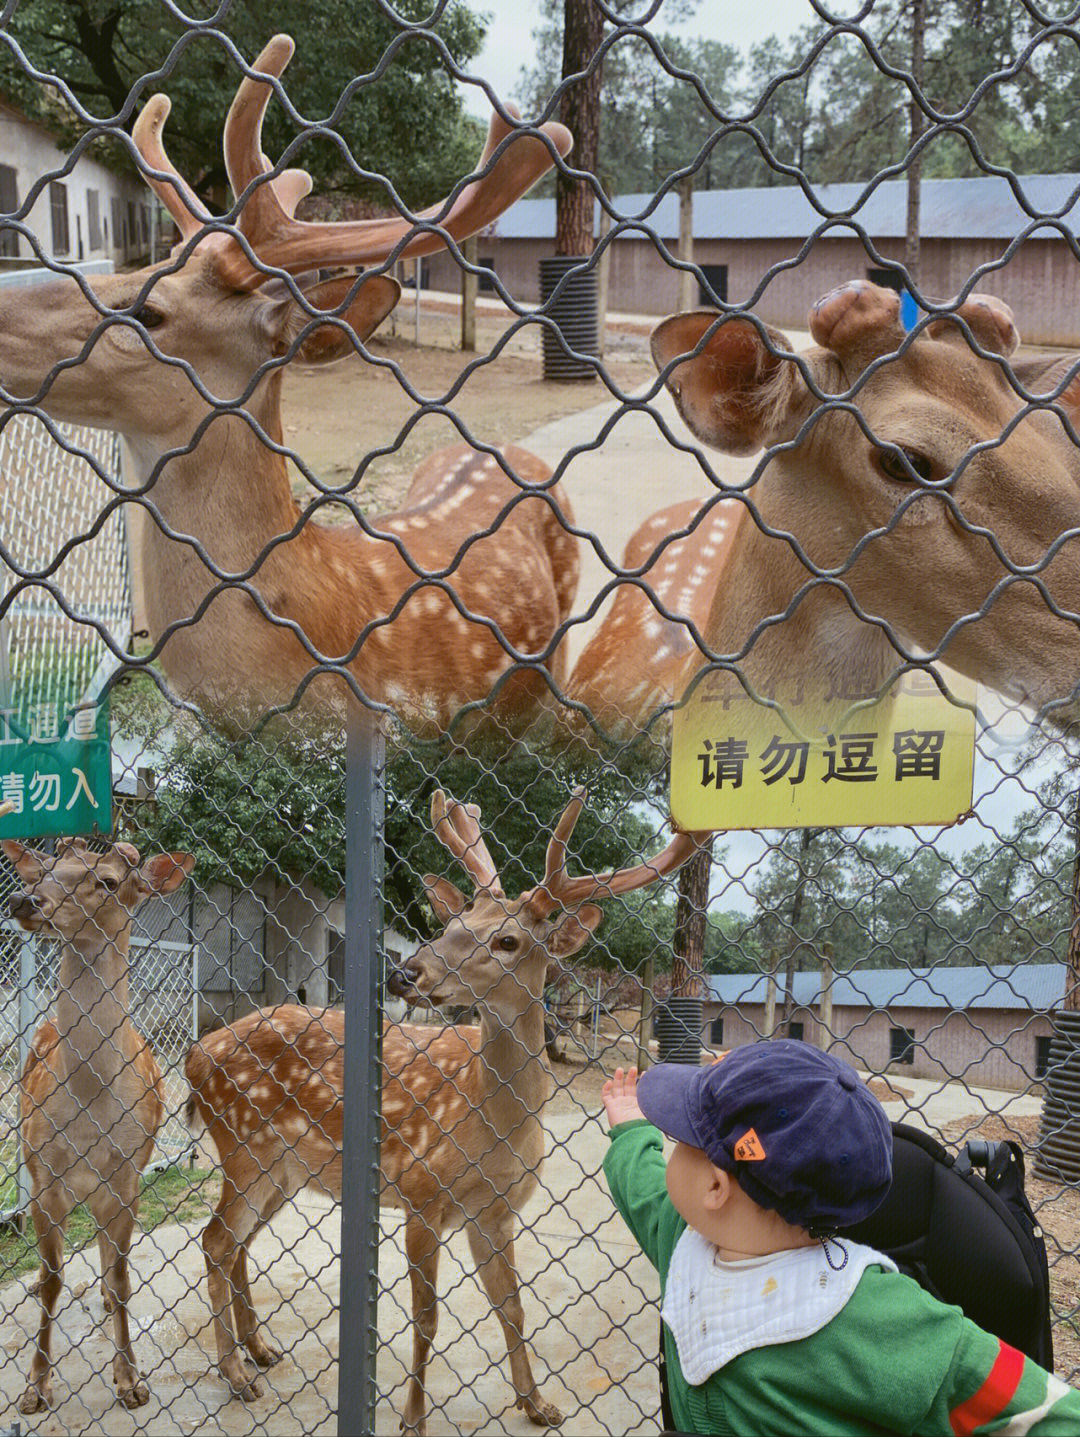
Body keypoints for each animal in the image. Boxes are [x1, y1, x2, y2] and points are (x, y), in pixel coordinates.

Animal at [2, 839, 195, 1408]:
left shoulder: (129, 1177)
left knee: (111, 1260)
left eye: (107, 881)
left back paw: (109, 1305)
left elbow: (124, 1277)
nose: (25, 899)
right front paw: (35, 1387)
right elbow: (50, 1280)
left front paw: (130, 1382)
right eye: (43, 870)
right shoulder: (45, 1178)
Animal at [186, 793, 703, 1431]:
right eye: (452, 925)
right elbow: (428, 1319)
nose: (404, 973)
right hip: (244, 1144)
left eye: (508, 941)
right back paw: (235, 1375)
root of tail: (194, 1053)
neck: (494, 1125)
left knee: (237, 1244)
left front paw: (537, 1403)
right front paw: (413, 1418)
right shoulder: (420, 1193)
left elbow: (513, 1307)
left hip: (284, 1169)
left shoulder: (496, 1212)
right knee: (215, 1241)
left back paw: (259, 1350)